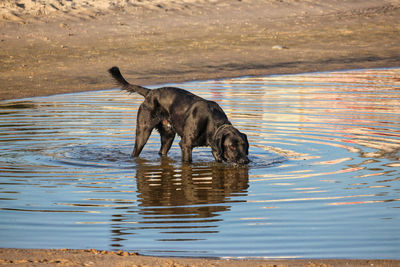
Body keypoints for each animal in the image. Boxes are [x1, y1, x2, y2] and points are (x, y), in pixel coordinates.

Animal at [108, 67, 248, 164]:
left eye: (244, 145)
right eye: (232, 146)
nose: (245, 161)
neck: (212, 121)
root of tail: (150, 92)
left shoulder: (215, 151)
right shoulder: (186, 145)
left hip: (168, 135)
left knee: (162, 152)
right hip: (143, 132)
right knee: (135, 152)